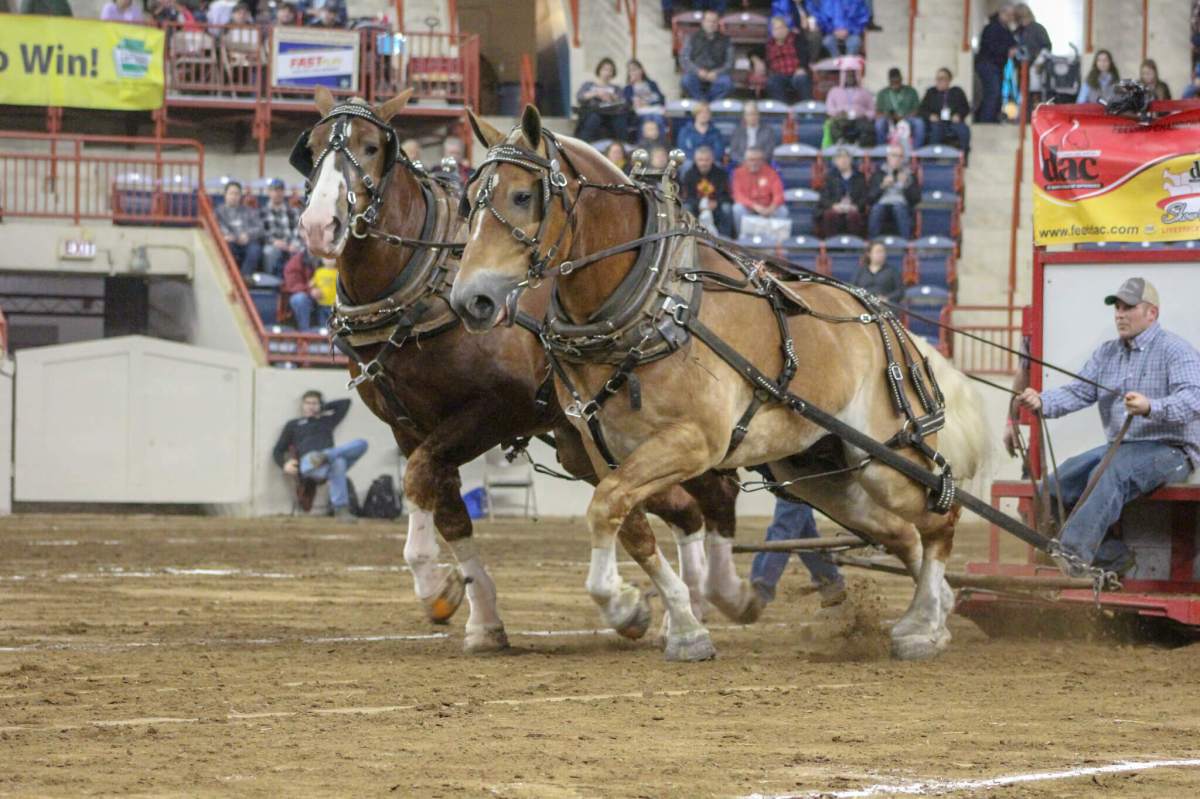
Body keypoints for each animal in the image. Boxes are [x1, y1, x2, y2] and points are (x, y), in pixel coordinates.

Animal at [292, 88, 758, 647]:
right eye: (311, 148)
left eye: (370, 146)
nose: (320, 225)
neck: (423, 289)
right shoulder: (409, 427)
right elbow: (446, 509)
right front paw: (480, 617)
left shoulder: (499, 408)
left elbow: (419, 480)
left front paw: (435, 583)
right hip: (584, 448)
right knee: (678, 508)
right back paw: (671, 609)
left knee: (715, 493)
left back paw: (717, 596)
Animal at [451, 109, 993, 662]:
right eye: (470, 201)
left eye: (522, 196)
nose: (470, 299)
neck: (656, 303)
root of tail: (894, 326)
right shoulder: (605, 451)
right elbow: (630, 527)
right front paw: (679, 624)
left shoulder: (695, 442)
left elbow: (605, 508)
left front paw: (624, 602)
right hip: (824, 474)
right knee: (905, 534)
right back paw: (936, 614)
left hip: (887, 460)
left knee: (942, 517)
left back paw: (923, 625)